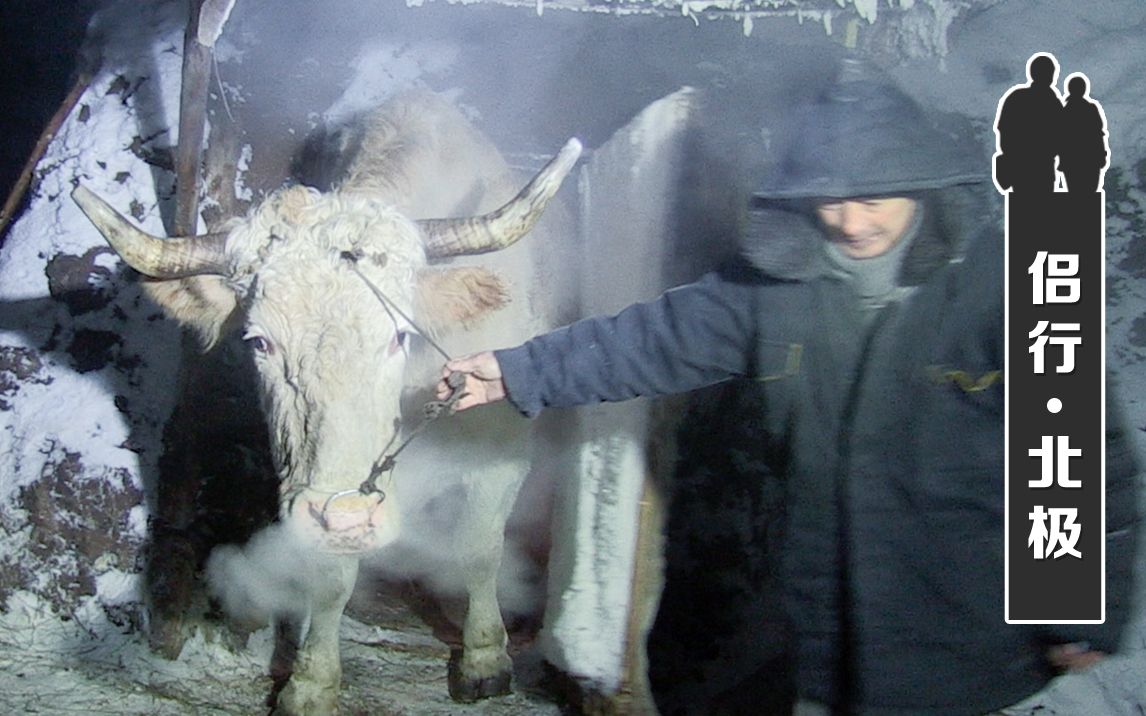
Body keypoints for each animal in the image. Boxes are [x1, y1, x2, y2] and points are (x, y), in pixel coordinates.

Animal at [71, 90, 582, 714]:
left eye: (400, 334)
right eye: (259, 341)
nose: (347, 514)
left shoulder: (501, 454)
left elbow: (480, 548)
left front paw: (485, 658)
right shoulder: (317, 485)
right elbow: (330, 577)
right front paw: (312, 682)